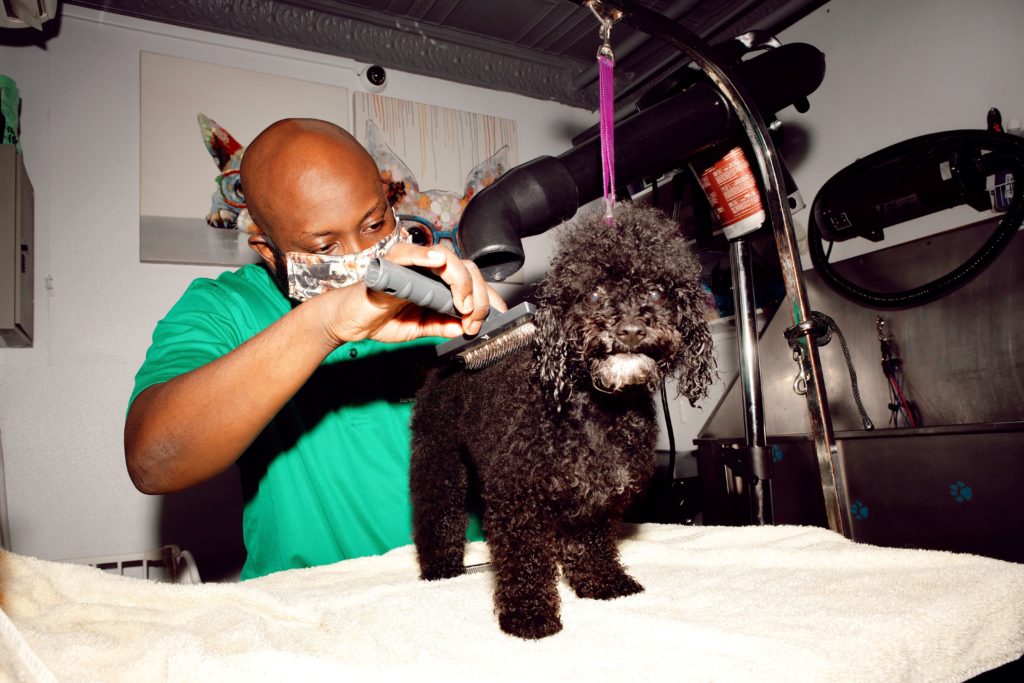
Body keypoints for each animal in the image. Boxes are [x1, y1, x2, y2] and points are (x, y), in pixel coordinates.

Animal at [405, 202, 712, 643]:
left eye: (657, 290)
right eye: (593, 293)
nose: (630, 329)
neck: (594, 412)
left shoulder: (598, 498)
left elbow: (592, 544)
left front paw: (603, 583)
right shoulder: (516, 501)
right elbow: (525, 562)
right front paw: (529, 616)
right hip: (439, 461)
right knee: (436, 513)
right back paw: (439, 568)